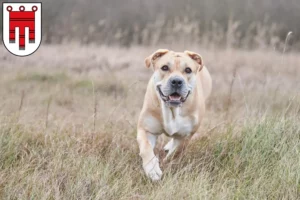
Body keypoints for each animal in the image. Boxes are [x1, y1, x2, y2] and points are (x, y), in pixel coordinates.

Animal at [137, 48, 212, 181]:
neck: (172, 110)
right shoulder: (146, 129)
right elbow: (146, 147)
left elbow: (176, 152)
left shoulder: (186, 135)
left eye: (188, 70)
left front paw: (166, 162)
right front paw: (152, 169)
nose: (176, 81)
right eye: (165, 67)